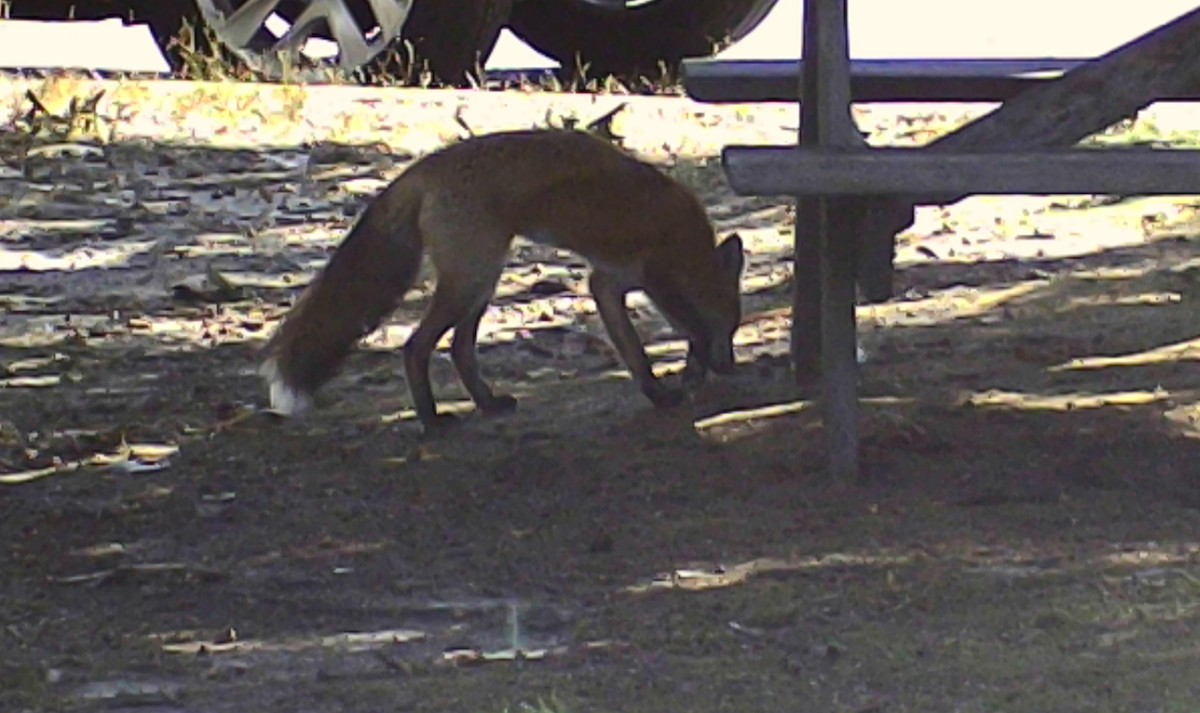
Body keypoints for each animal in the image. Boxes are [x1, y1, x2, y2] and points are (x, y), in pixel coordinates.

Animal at [260, 128, 745, 430]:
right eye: (733, 326)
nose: (730, 367)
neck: (690, 239)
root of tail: (425, 167)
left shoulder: (607, 284)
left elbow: (635, 353)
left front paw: (660, 392)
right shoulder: (657, 273)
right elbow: (692, 328)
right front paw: (692, 373)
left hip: (482, 281)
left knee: (459, 349)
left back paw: (487, 404)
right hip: (470, 280)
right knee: (416, 347)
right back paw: (432, 421)